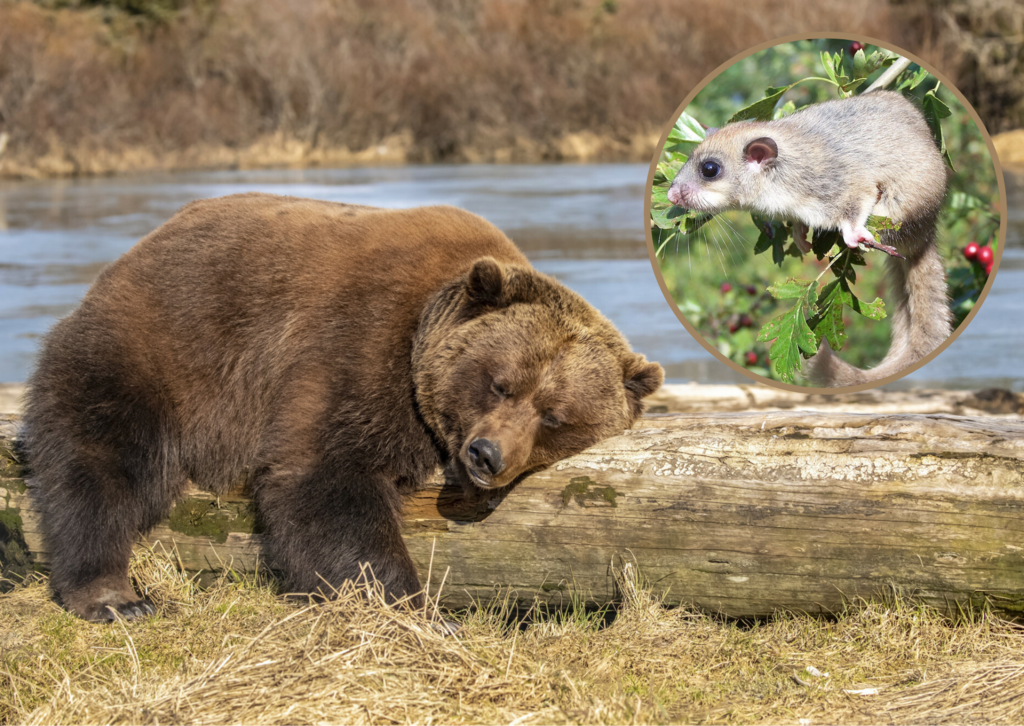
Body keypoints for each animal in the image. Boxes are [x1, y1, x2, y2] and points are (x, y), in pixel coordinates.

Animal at [25, 193, 663, 622]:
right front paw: (416, 607)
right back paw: (112, 594)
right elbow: (326, 479)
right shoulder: (357, 345)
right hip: (157, 351)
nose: (487, 454)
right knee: (100, 461)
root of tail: (134, 252)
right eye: (500, 384)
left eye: (555, 416)